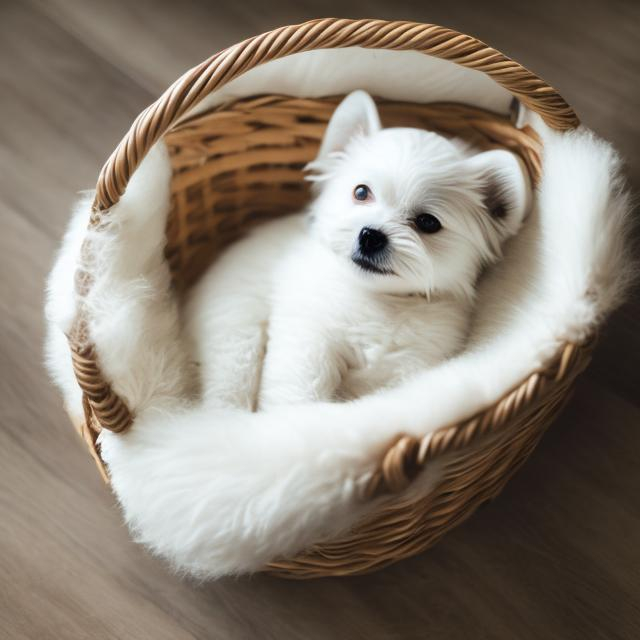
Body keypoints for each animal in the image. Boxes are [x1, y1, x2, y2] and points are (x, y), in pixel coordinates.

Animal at [184, 90, 528, 410]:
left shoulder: (409, 366)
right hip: (236, 337)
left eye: (428, 222)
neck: (380, 299)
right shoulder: (308, 339)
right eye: (361, 192)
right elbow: (299, 394)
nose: (371, 235)